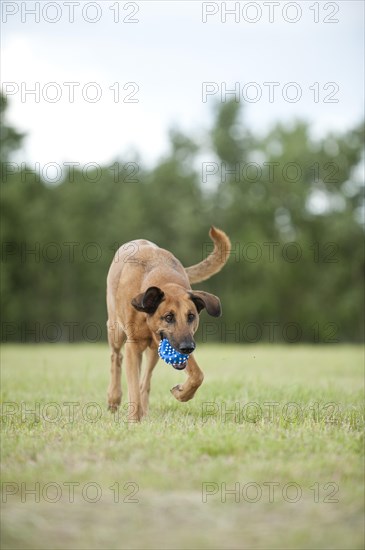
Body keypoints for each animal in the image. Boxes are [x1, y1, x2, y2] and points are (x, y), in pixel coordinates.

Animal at [106, 227, 230, 422]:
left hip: (154, 352)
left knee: (144, 382)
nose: (187, 348)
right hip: (116, 331)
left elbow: (197, 375)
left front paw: (182, 393)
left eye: (191, 316)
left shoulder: (179, 342)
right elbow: (132, 388)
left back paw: (144, 411)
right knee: (116, 358)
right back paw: (114, 398)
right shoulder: (133, 346)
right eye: (169, 317)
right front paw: (133, 421)